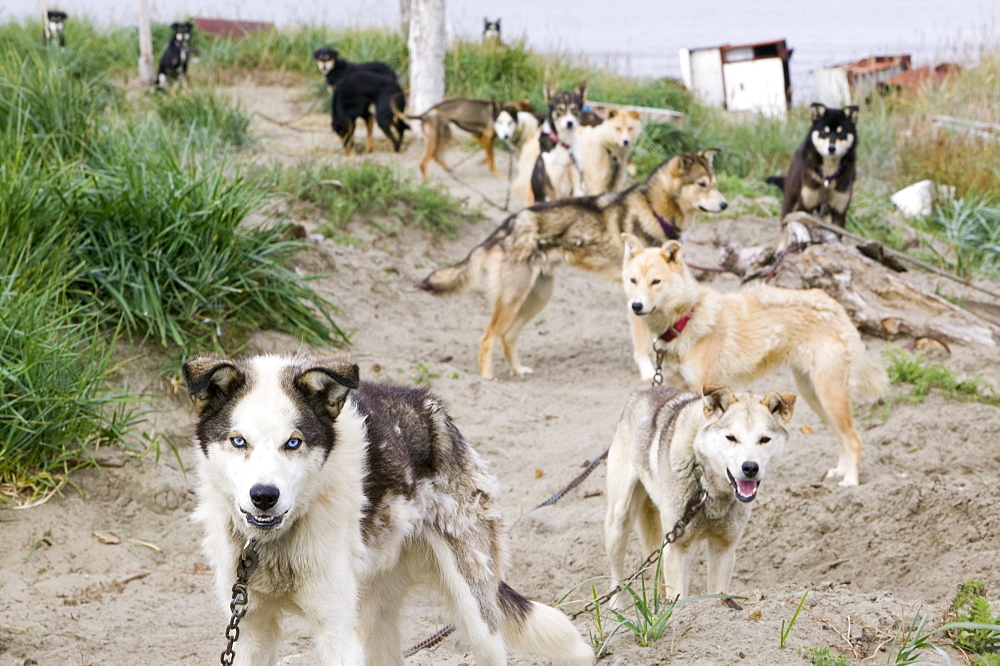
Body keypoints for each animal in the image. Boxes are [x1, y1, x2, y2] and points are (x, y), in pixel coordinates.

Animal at [182, 352, 592, 664]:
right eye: (238, 441)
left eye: (293, 442)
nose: (264, 495)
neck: (273, 546)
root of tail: (432, 409)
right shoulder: (251, 628)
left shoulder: (335, 628)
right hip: (373, 616)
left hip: (475, 614)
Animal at [620, 232, 888, 482]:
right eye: (633, 281)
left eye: (656, 282)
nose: (636, 306)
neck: (687, 318)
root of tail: (833, 305)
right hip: (814, 395)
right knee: (841, 435)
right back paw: (839, 472)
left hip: (829, 394)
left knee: (853, 437)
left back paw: (850, 481)